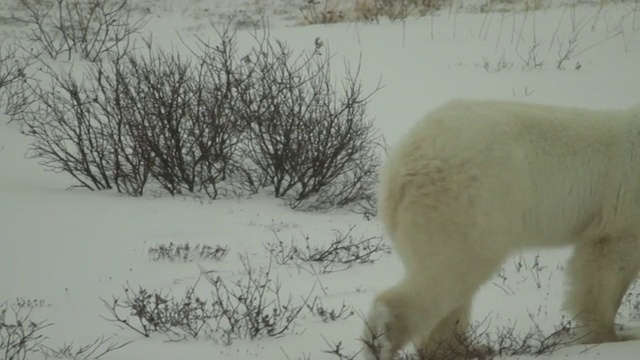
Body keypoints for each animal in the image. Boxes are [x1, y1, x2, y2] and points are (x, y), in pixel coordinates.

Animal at [362, 97, 640, 360]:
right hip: (467, 203)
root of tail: (401, 164)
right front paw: (612, 337)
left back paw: (461, 349)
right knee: (447, 273)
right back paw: (383, 338)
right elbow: (609, 265)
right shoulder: (625, 209)